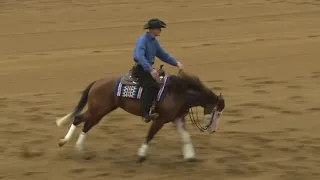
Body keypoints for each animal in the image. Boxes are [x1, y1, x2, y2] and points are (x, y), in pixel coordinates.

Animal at [55, 64, 225, 162]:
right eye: (217, 113)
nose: (213, 130)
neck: (179, 92)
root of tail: (97, 82)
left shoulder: (176, 118)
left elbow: (185, 136)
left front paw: (190, 156)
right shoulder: (160, 119)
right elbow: (150, 135)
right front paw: (141, 154)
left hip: (101, 111)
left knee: (85, 123)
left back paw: (77, 147)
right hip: (98, 110)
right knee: (79, 119)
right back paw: (68, 143)